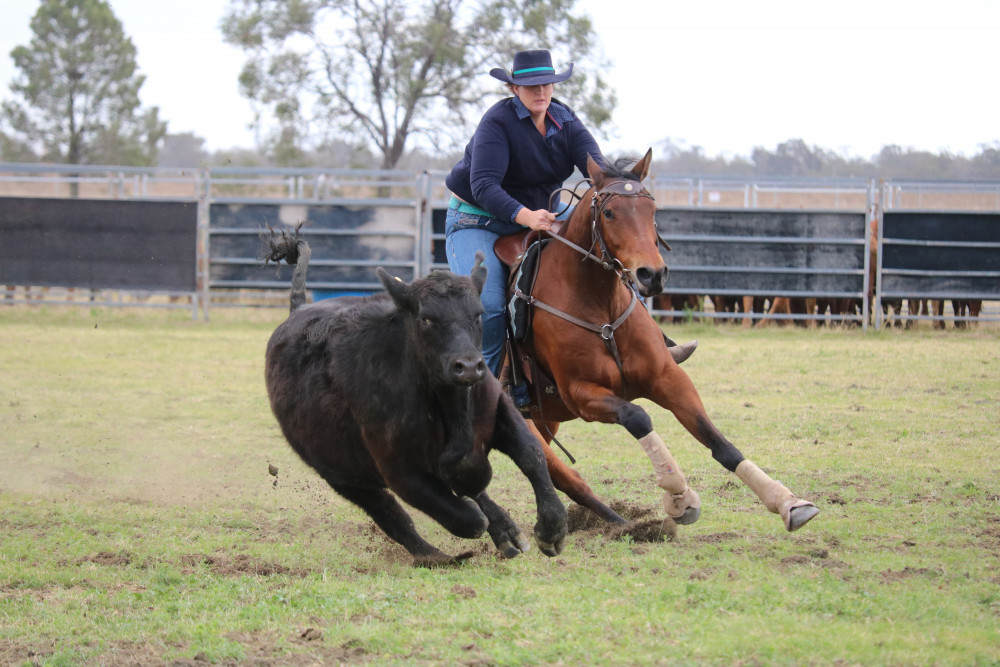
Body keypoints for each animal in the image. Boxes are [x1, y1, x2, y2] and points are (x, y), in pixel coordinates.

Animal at [500, 150, 820, 532]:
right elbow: (638, 417)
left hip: (545, 420)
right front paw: (680, 495)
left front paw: (787, 501)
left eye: (652, 211)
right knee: (561, 475)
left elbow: (719, 442)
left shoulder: (668, 377)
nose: (651, 274)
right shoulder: (582, 394)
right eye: (609, 213)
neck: (600, 306)